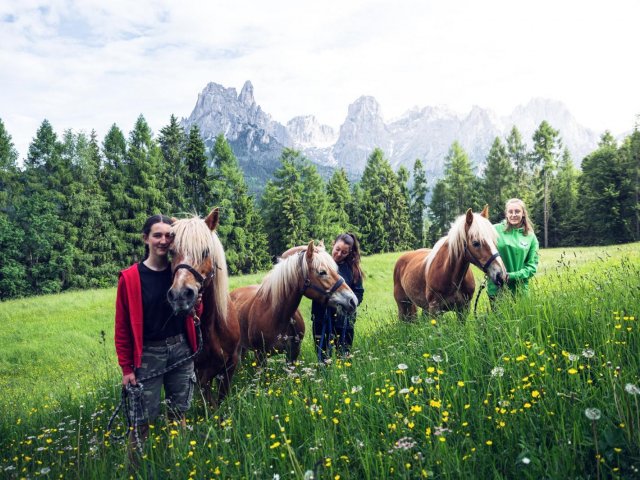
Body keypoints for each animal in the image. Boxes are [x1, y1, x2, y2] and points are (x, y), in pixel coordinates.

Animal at [167, 208, 241, 408]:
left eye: (206, 251)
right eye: (171, 252)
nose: (180, 295)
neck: (210, 324)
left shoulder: (230, 364)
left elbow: (222, 398)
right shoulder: (201, 373)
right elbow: (211, 404)